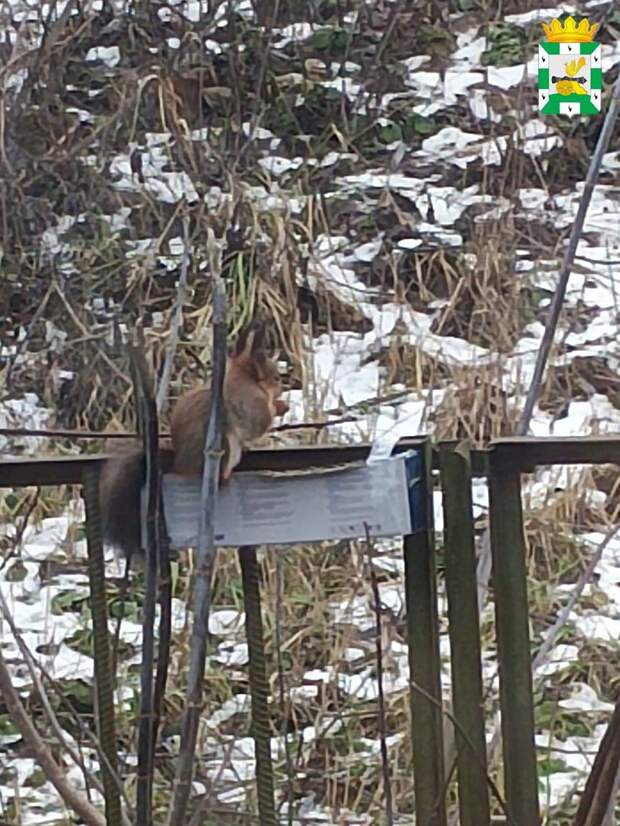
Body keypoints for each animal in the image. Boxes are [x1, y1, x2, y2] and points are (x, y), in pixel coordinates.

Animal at [98, 324, 290, 560]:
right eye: (276, 378)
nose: (282, 388)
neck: (244, 379)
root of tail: (179, 465)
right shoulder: (250, 402)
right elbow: (259, 423)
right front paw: (279, 407)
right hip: (223, 447)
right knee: (221, 474)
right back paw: (226, 475)